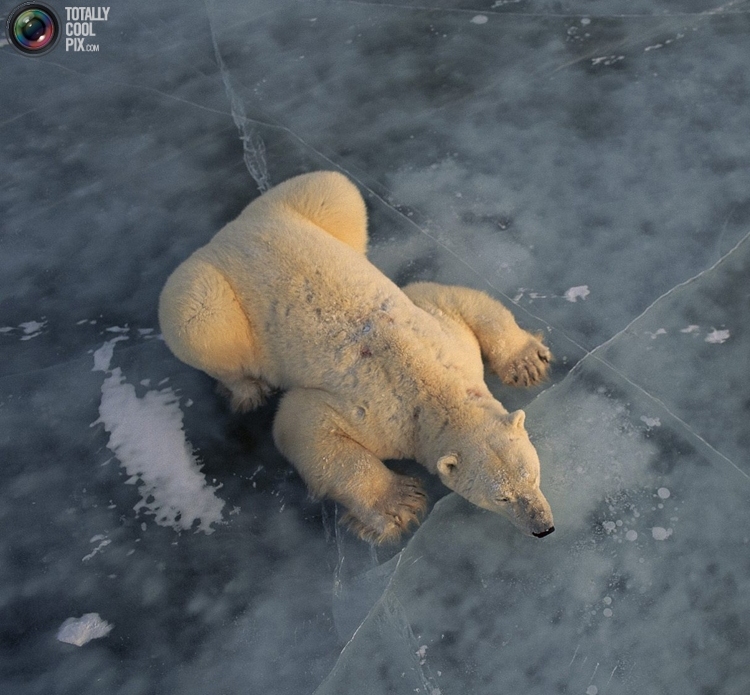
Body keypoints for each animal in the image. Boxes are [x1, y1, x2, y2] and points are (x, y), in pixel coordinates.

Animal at [158, 171, 555, 544]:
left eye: (532, 475)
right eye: (501, 497)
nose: (543, 527)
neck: (433, 386)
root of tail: (225, 236)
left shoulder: (446, 341)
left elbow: (451, 297)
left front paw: (528, 363)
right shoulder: (380, 415)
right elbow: (304, 424)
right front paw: (400, 503)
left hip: (297, 207)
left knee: (336, 192)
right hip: (209, 297)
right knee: (198, 321)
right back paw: (245, 389)